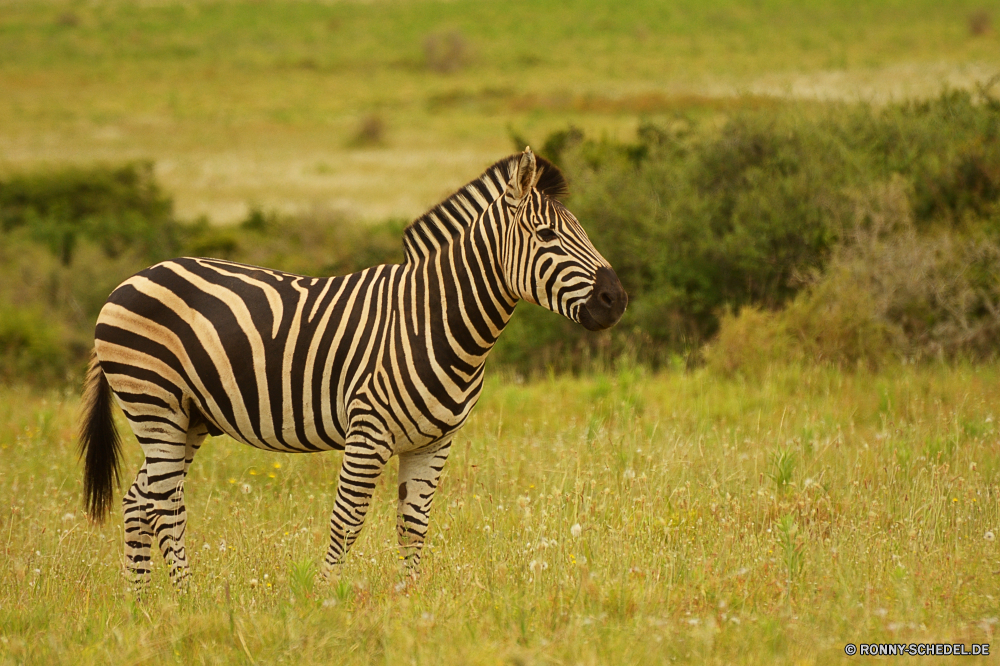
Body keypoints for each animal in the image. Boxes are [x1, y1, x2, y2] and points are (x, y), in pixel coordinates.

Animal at [80, 148, 624, 584]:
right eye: (546, 234)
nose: (616, 299)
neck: (432, 317)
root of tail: (129, 280)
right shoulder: (368, 432)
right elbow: (348, 521)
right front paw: (325, 598)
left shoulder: (435, 441)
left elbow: (413, 526)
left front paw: (410, 601)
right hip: (155, 403)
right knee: (164, 505)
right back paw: (187, 598)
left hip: (188, 417)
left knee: (139, 501)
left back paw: (143, 602)